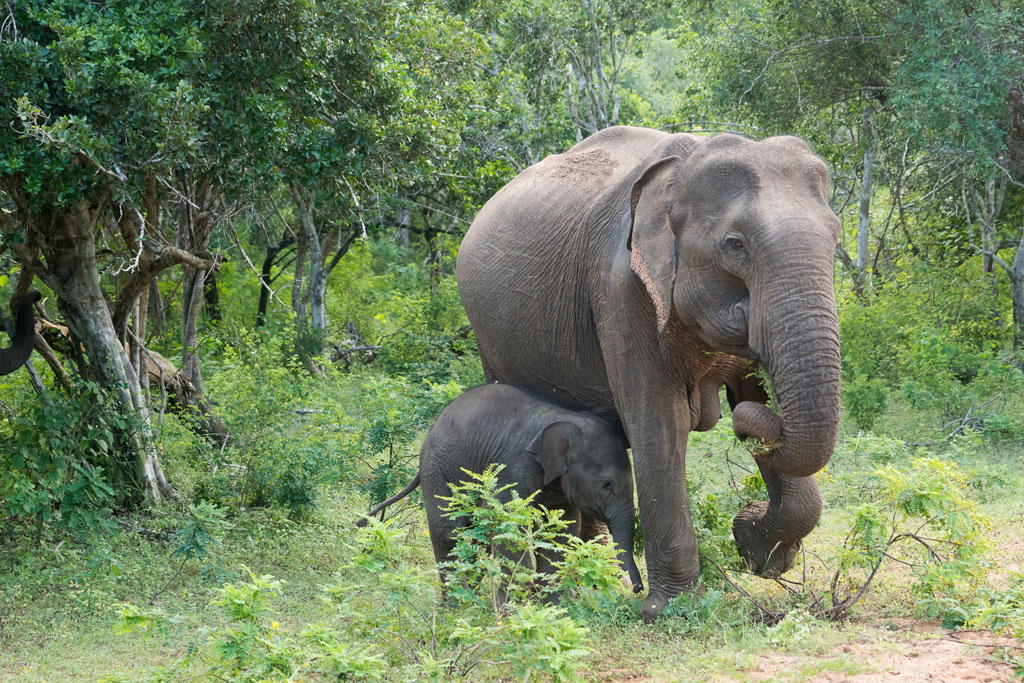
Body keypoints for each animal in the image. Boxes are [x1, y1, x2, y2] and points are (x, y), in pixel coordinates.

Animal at [354, 385, 638, 593]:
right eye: (606, 485)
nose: (636, 589)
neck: (565, 418)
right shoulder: (513, 467)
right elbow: (506, 524)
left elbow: (559, 532)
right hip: (439, 468)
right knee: (450, 533)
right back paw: (457, 607)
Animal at [456, 125, 839, 622]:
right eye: (735, 245)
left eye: (836, 238)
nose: (741, 424)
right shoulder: (621, 290)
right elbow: (659, 425)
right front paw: (671, 609)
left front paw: (756, 549)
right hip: (490, 338)